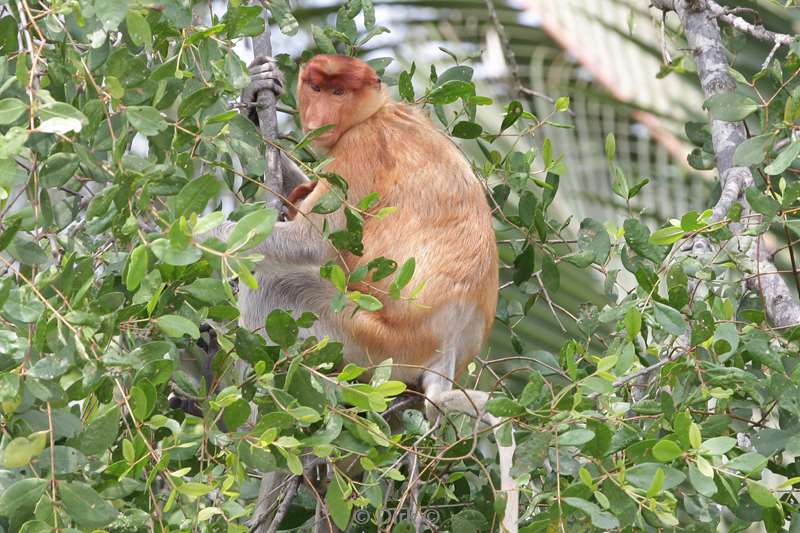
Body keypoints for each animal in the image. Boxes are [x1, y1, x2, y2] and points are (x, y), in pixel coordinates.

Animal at [231, 55, 520, 532]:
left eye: (339, 93)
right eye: (315, 87)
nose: (320, 117)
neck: (378, 111)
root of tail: (448, 349)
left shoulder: (361, 147)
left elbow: (313, 242)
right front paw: (258, 92)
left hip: (371, 342)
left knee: (275, 284)